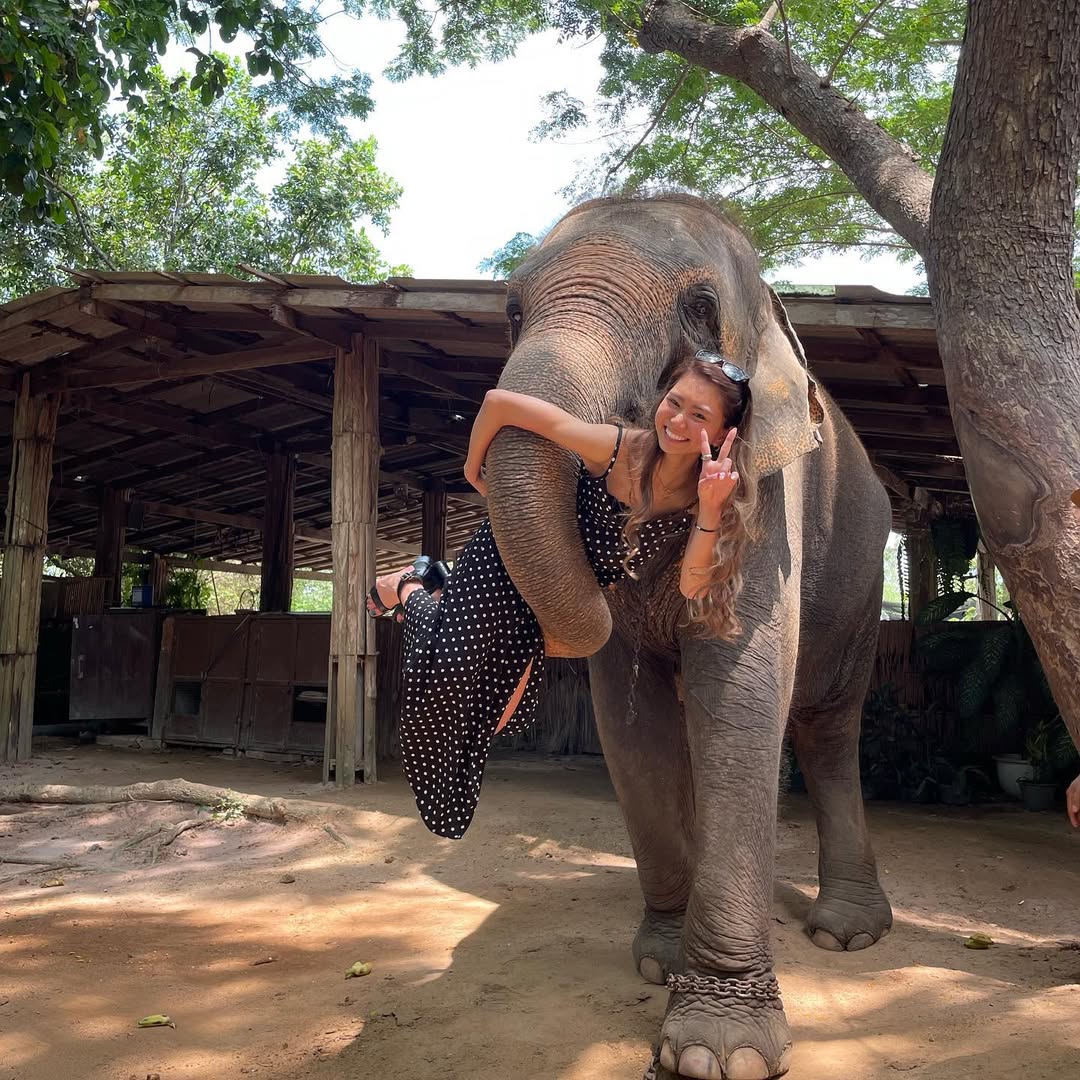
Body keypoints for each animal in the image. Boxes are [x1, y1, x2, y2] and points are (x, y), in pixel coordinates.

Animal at [482, 194, 894, 1079]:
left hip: (860, 581)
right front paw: (662, 962)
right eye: (511, 314)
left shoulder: (769, 494)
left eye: (701, 310)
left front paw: (717, 1051)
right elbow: (630, 715)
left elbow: (738, 689)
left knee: (827, 728)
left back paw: (845, 934)